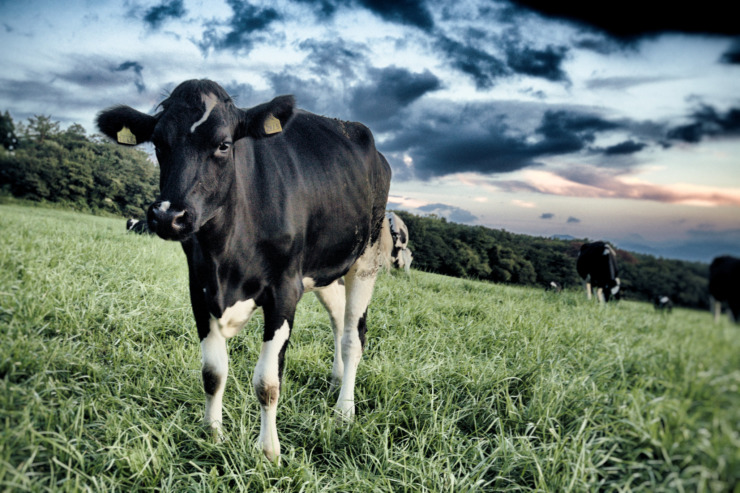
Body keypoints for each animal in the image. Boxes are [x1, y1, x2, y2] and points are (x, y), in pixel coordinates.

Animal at [98, 80, 394, 462]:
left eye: (224, 144)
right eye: (159, 143)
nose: (167, 216)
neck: (226, 256)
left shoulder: (284, 290)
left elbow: (267, 382)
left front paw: (268, 452)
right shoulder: (200, 288)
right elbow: (213, 373)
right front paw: (212, 435)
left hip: (366, 256)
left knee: (352, 337)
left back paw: (345, 410)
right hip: (321, 270)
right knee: (338, 317)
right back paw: (335, 381)